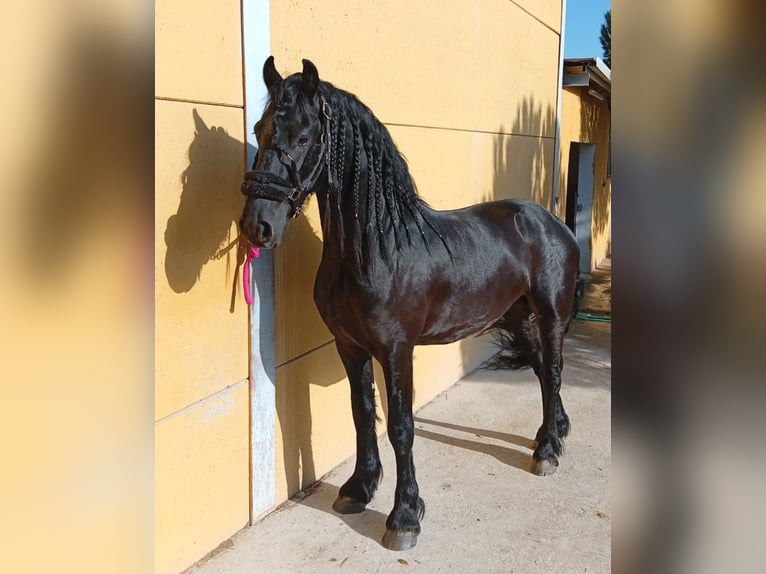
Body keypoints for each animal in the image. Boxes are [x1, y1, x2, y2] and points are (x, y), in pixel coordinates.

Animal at [239, 57, 581, 550]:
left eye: (303, 138)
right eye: (260, 128)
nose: (257, 226)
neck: (376, 249)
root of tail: (549, 219)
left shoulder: (397, 351)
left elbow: (401, 426)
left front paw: (403, 516)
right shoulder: (350, 347)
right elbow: (363, 415)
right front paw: (359, 489)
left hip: (552, 313)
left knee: (552, 371)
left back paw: (549, 451)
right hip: (518, 316)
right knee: (540, 369)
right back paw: (550, 433)